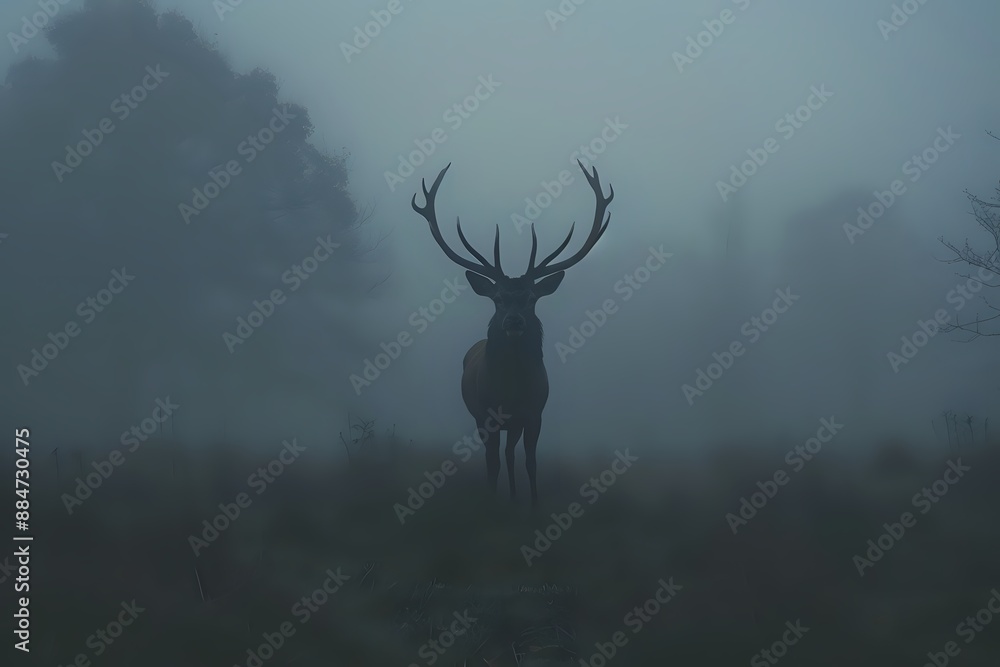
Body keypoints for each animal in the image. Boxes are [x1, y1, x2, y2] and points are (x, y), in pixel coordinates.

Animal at [411, 159, 614, 508]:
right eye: (498, 298)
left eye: (531, 298)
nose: (514, 321)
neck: (511, 391)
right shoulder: (487, 416)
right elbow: (491, 462)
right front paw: (492, 501)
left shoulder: (534, 414)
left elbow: (531, 462)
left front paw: (533, 505)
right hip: (481, 418)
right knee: (498, 455)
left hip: (515, 424)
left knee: (510, 453)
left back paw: (516, 497)